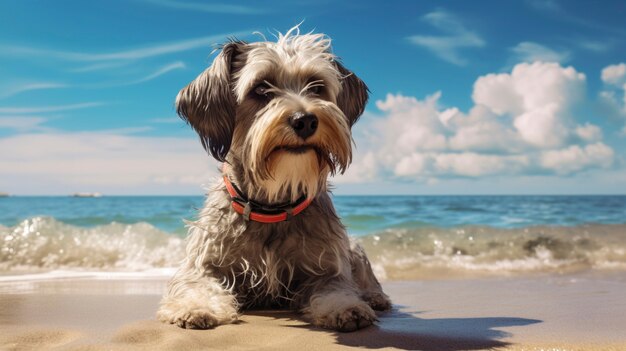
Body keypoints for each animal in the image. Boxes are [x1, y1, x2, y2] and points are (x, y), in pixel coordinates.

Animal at [156, 27, 388, 332]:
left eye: (316, 86)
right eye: (261, 89)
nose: (305, 120)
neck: (271, 207)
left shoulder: (328, 265)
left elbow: (336, 287)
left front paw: (346, 307)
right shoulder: (203, 263)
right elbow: (197, 284)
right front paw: (195, 307)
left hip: (354, 247)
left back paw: (374, 296)